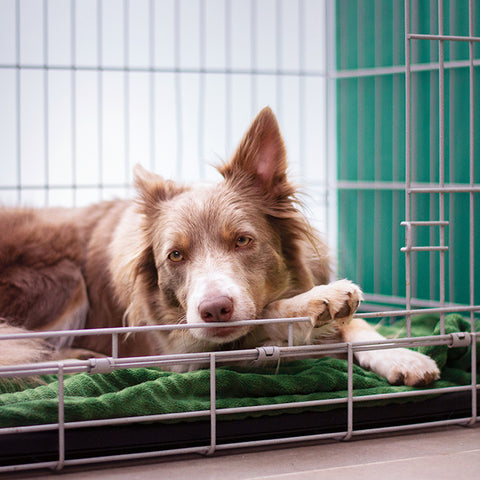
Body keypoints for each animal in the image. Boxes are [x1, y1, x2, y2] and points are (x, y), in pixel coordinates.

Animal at [0, 106, 438, 386]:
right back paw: (77, 361)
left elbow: (356, 324)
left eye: (243, 240)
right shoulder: (182, 350)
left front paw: (402, 353)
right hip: (64, 279)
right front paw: (317, 301)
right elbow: (264, 320)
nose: (214, 310)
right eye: (175, 255)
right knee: (18, 354)